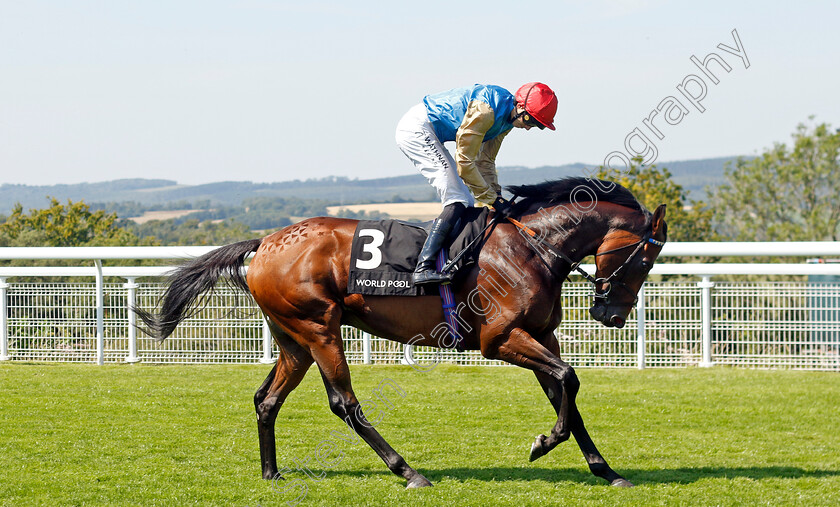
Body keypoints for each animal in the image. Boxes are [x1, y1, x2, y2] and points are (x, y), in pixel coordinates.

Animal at [135, 179, 668, 492]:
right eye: (644, 258)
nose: (612, 315)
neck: (530, 248)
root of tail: (266, 242)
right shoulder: (501, 340)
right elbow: (568, 379)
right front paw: (543, 442)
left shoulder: (540, 336)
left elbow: (566, 391)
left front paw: (606, 470)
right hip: (320, 329)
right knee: (344, 404)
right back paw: (407, 471)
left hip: (293, 341)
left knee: (266, 399)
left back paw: (271, 472)